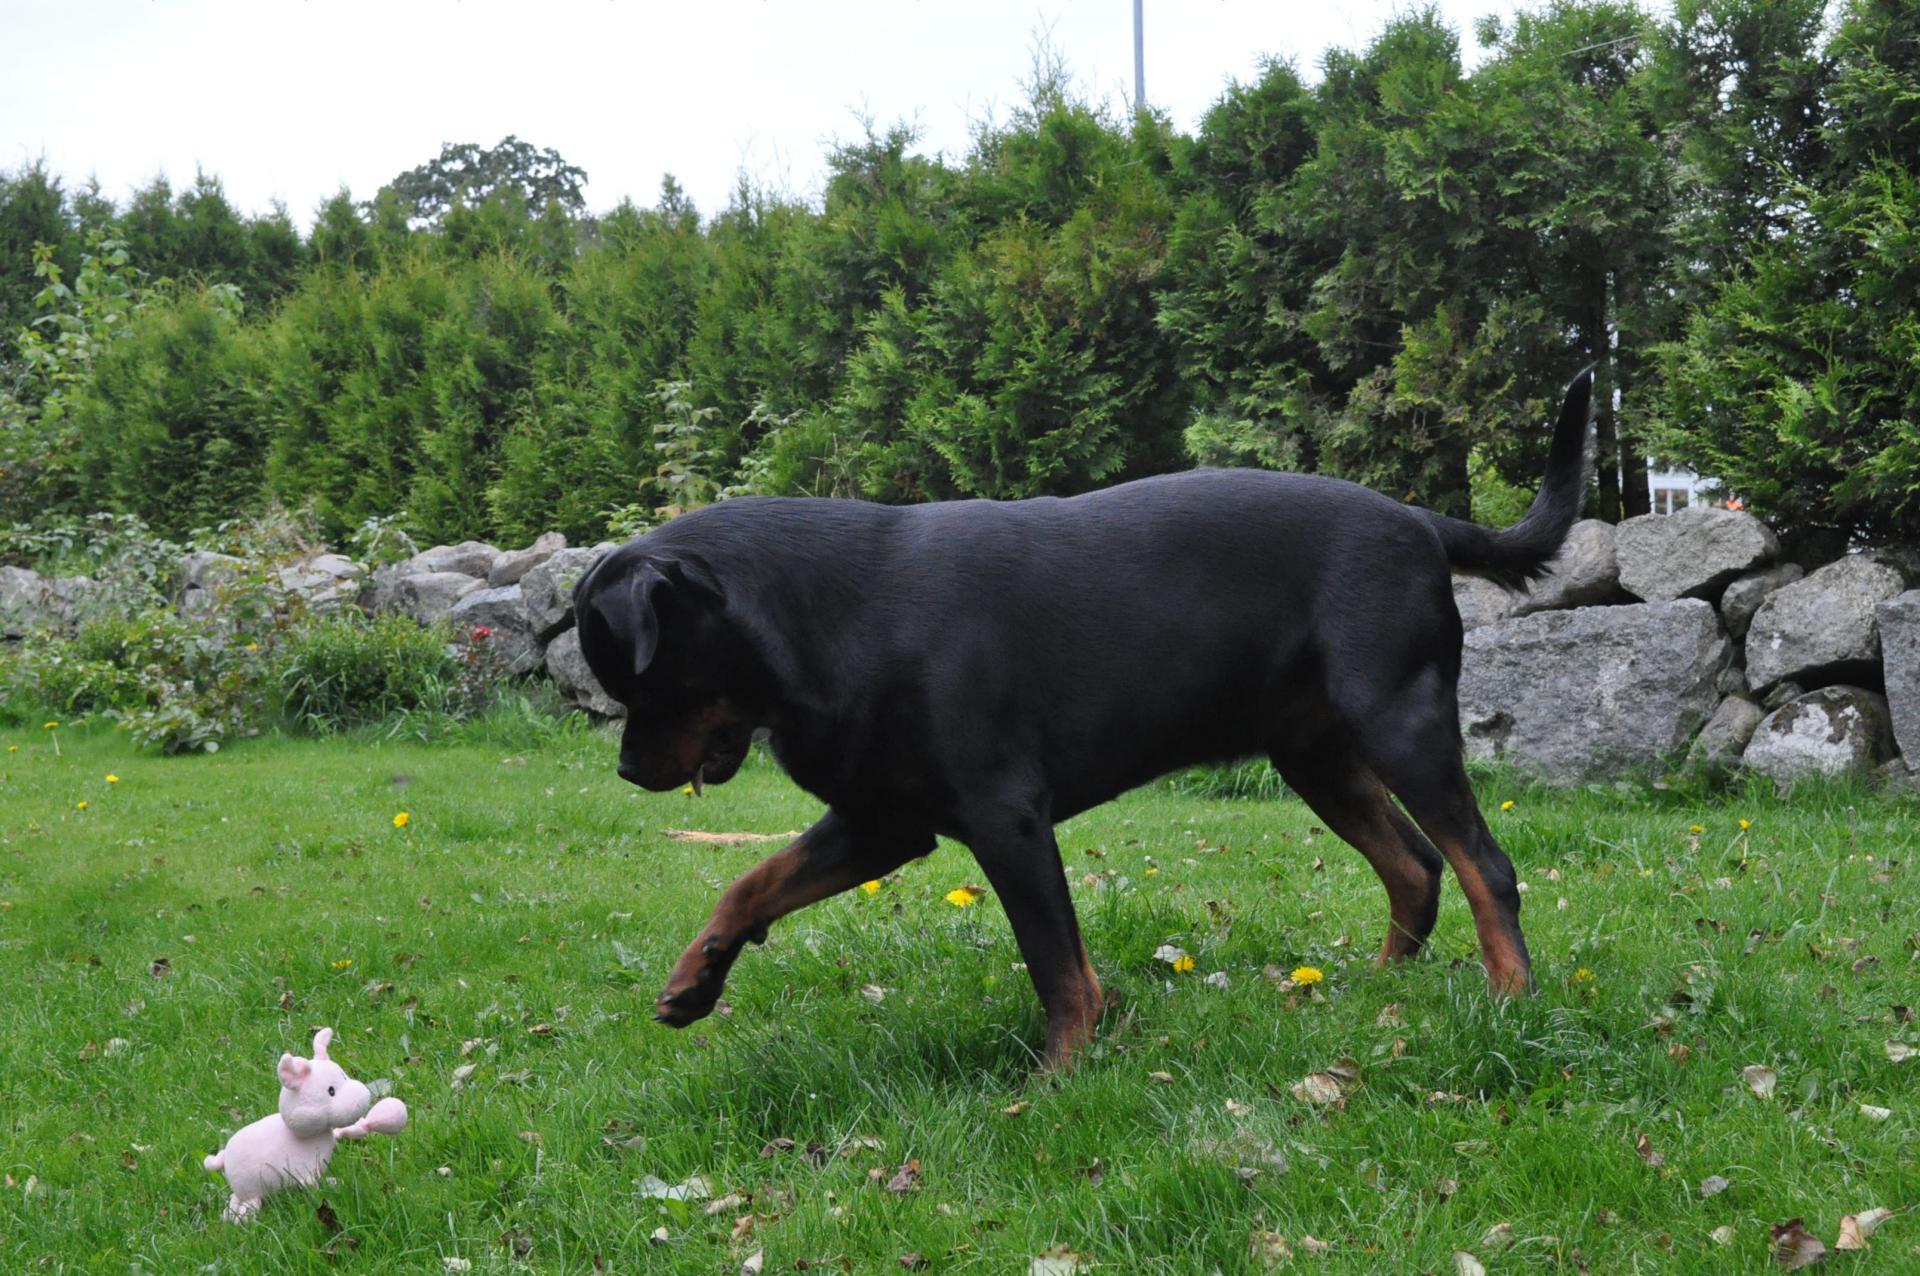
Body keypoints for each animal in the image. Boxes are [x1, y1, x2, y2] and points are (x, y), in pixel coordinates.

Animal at [574, 370, 1592, 1068]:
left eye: (635, 680)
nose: (625, 771)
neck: (825, 619)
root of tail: (1421, 521)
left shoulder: (1005, 819)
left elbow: (1059, 968)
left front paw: (1059, 1077)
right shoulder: (881, 822)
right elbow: (752, 882)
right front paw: (695, 979)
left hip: (1398, 722)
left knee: (1485, 866)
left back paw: (1512, 997)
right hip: (1315, 753)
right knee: (1415, 866)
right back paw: (1380, 988)